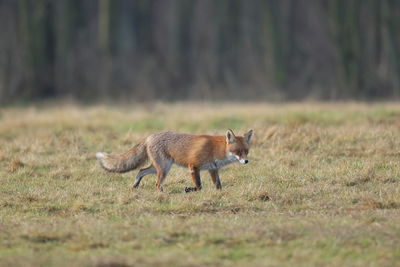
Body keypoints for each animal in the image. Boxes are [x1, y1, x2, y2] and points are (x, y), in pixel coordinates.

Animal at [96, 130, 253, 193]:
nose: (246, 161)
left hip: (160, 167)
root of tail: (150, 136)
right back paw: (163, 194)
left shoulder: (212, 169)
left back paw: (135, 186)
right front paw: (189, 190)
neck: (215, 149)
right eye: (238, 151)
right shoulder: (193, 166)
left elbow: (218, 186)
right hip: (164, 168)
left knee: (140, 171)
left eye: (246, 151)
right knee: (156, 183)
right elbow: (199, 186)